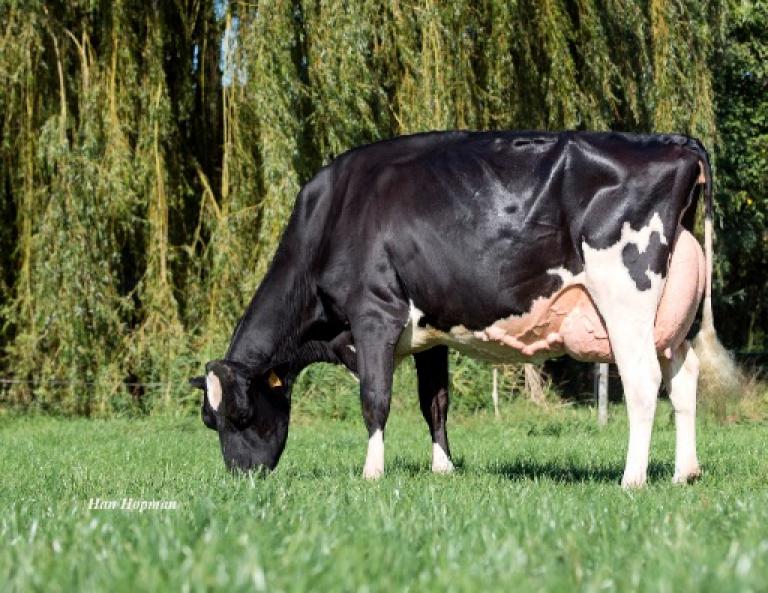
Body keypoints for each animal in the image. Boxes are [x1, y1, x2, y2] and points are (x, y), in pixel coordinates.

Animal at [190, 130, 718, 488]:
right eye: (208, 421)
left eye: (240, 414)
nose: (241, 476)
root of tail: (675, 143)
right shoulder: (429, 331)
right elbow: (435, 402)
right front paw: (443, 468)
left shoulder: (374, 314)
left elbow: (375, 399)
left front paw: (372, 472)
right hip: (672, 321)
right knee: (684, 378)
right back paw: (685, 473)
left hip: (625, 299)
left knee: (643, 382)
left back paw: (633, 478)